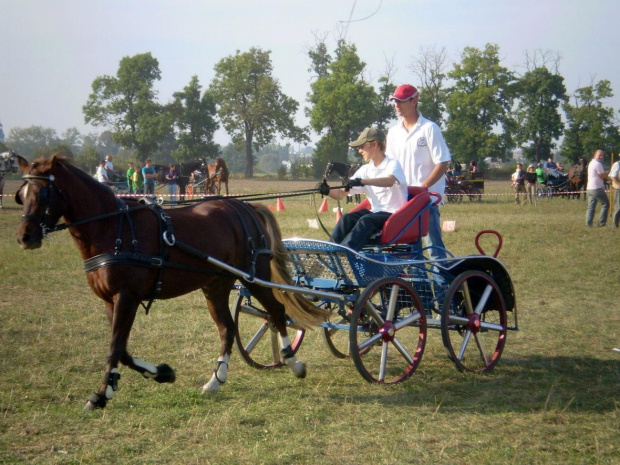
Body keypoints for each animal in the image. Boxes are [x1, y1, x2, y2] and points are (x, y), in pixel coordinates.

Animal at [14, 154, 326, 408]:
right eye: (21, 194)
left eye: (43, 193)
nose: (24, 237)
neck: (111, 227)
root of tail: (245, 208)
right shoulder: (110, 300)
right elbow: (122, 349)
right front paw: (161, 373)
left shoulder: (126, 297)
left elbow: (115, 347)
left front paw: (101, 394)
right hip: (216, 286)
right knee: (227, 328)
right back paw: (216, 379)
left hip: (254, 276)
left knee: (276, 312)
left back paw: (293, 362)